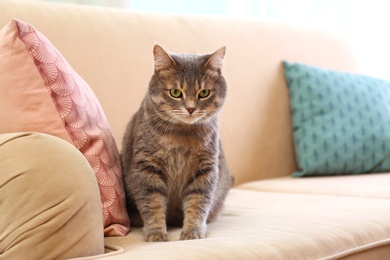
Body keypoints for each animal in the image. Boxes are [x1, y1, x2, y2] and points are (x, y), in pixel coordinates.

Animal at [120, 44, 233, 242]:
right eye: (175, 92)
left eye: (204, 93)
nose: (190, 108)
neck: (182, 135)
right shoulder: (146, 168)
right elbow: (152, 203)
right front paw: (156, 232)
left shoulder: (205, 170)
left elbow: (198, 203)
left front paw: (193, 231)